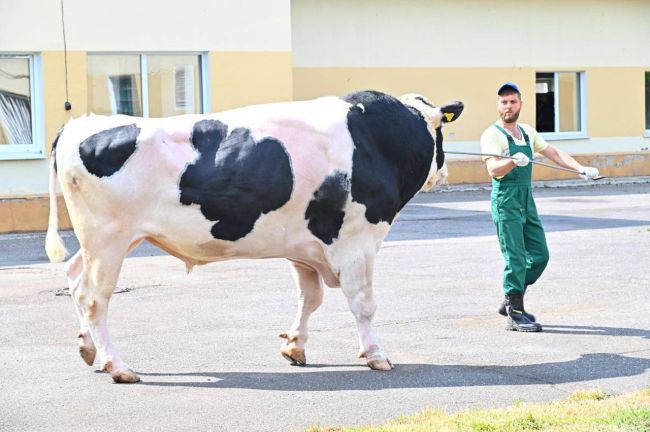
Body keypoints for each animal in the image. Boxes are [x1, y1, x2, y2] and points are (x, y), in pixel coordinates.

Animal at [45, 90, 460, 382]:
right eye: (441, 132)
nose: (444, 172)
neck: (378, 138)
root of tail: (79, 124)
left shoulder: (304, 245)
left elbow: (310, 298)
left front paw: (295, 347)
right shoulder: (357, 240)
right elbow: (362, 303)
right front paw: (376, 355)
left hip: (108, 241)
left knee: (74, 278)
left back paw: (89, 350)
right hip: (108, 240)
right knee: (94, 298)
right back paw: (117, 366)